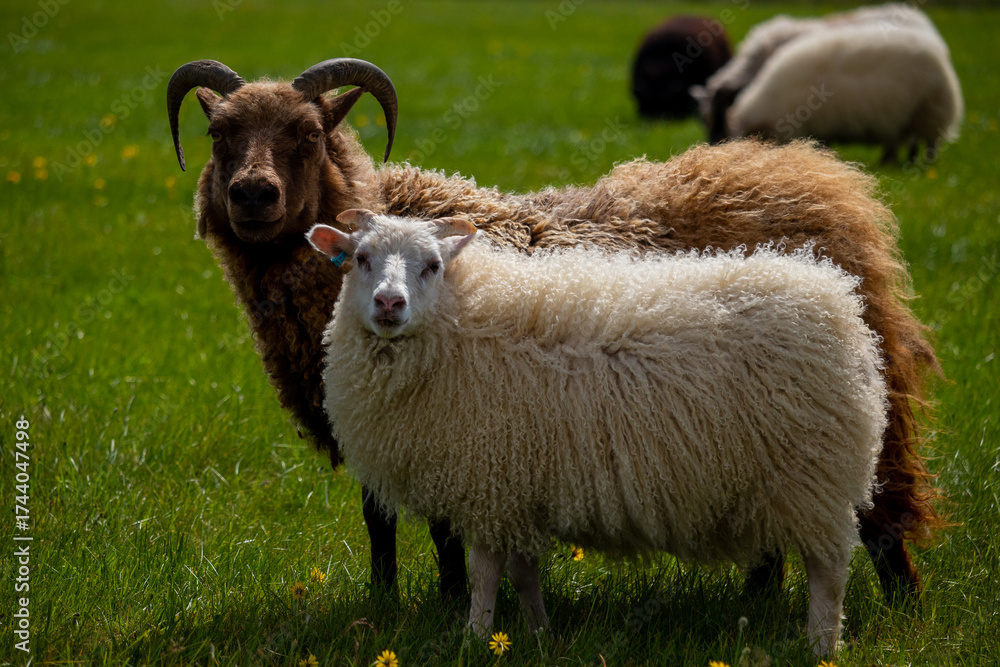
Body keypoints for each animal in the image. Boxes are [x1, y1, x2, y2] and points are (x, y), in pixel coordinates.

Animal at [167, 58, 940, 605]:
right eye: (218, 135)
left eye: (307, 135)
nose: (252, 195)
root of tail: (825, 180)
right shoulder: (375, 418)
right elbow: (379, 522)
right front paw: (387, 604)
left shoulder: (449, 419)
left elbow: (439, 528)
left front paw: (449, 603)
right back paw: (757, 602)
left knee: (883, 507)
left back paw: (903, 609)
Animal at [309, 209, 889, 656]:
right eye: (360, 258)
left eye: (431, 265)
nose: (389, 304)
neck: (457, 320)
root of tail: (840, 305)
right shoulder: (521, 483)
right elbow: (523, 571)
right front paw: (538, 634)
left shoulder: (490, 483)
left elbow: (484, 571)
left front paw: (474, 638)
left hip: (815, 474)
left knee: (830, 571)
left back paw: (821, 645)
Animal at [725, 23, 963, 164]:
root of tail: (938, 51)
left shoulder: (821, 124)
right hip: (909, 116)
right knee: (901, 140)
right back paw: (893, 162)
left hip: (931, 110)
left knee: (930, 142)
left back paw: (920, 165)